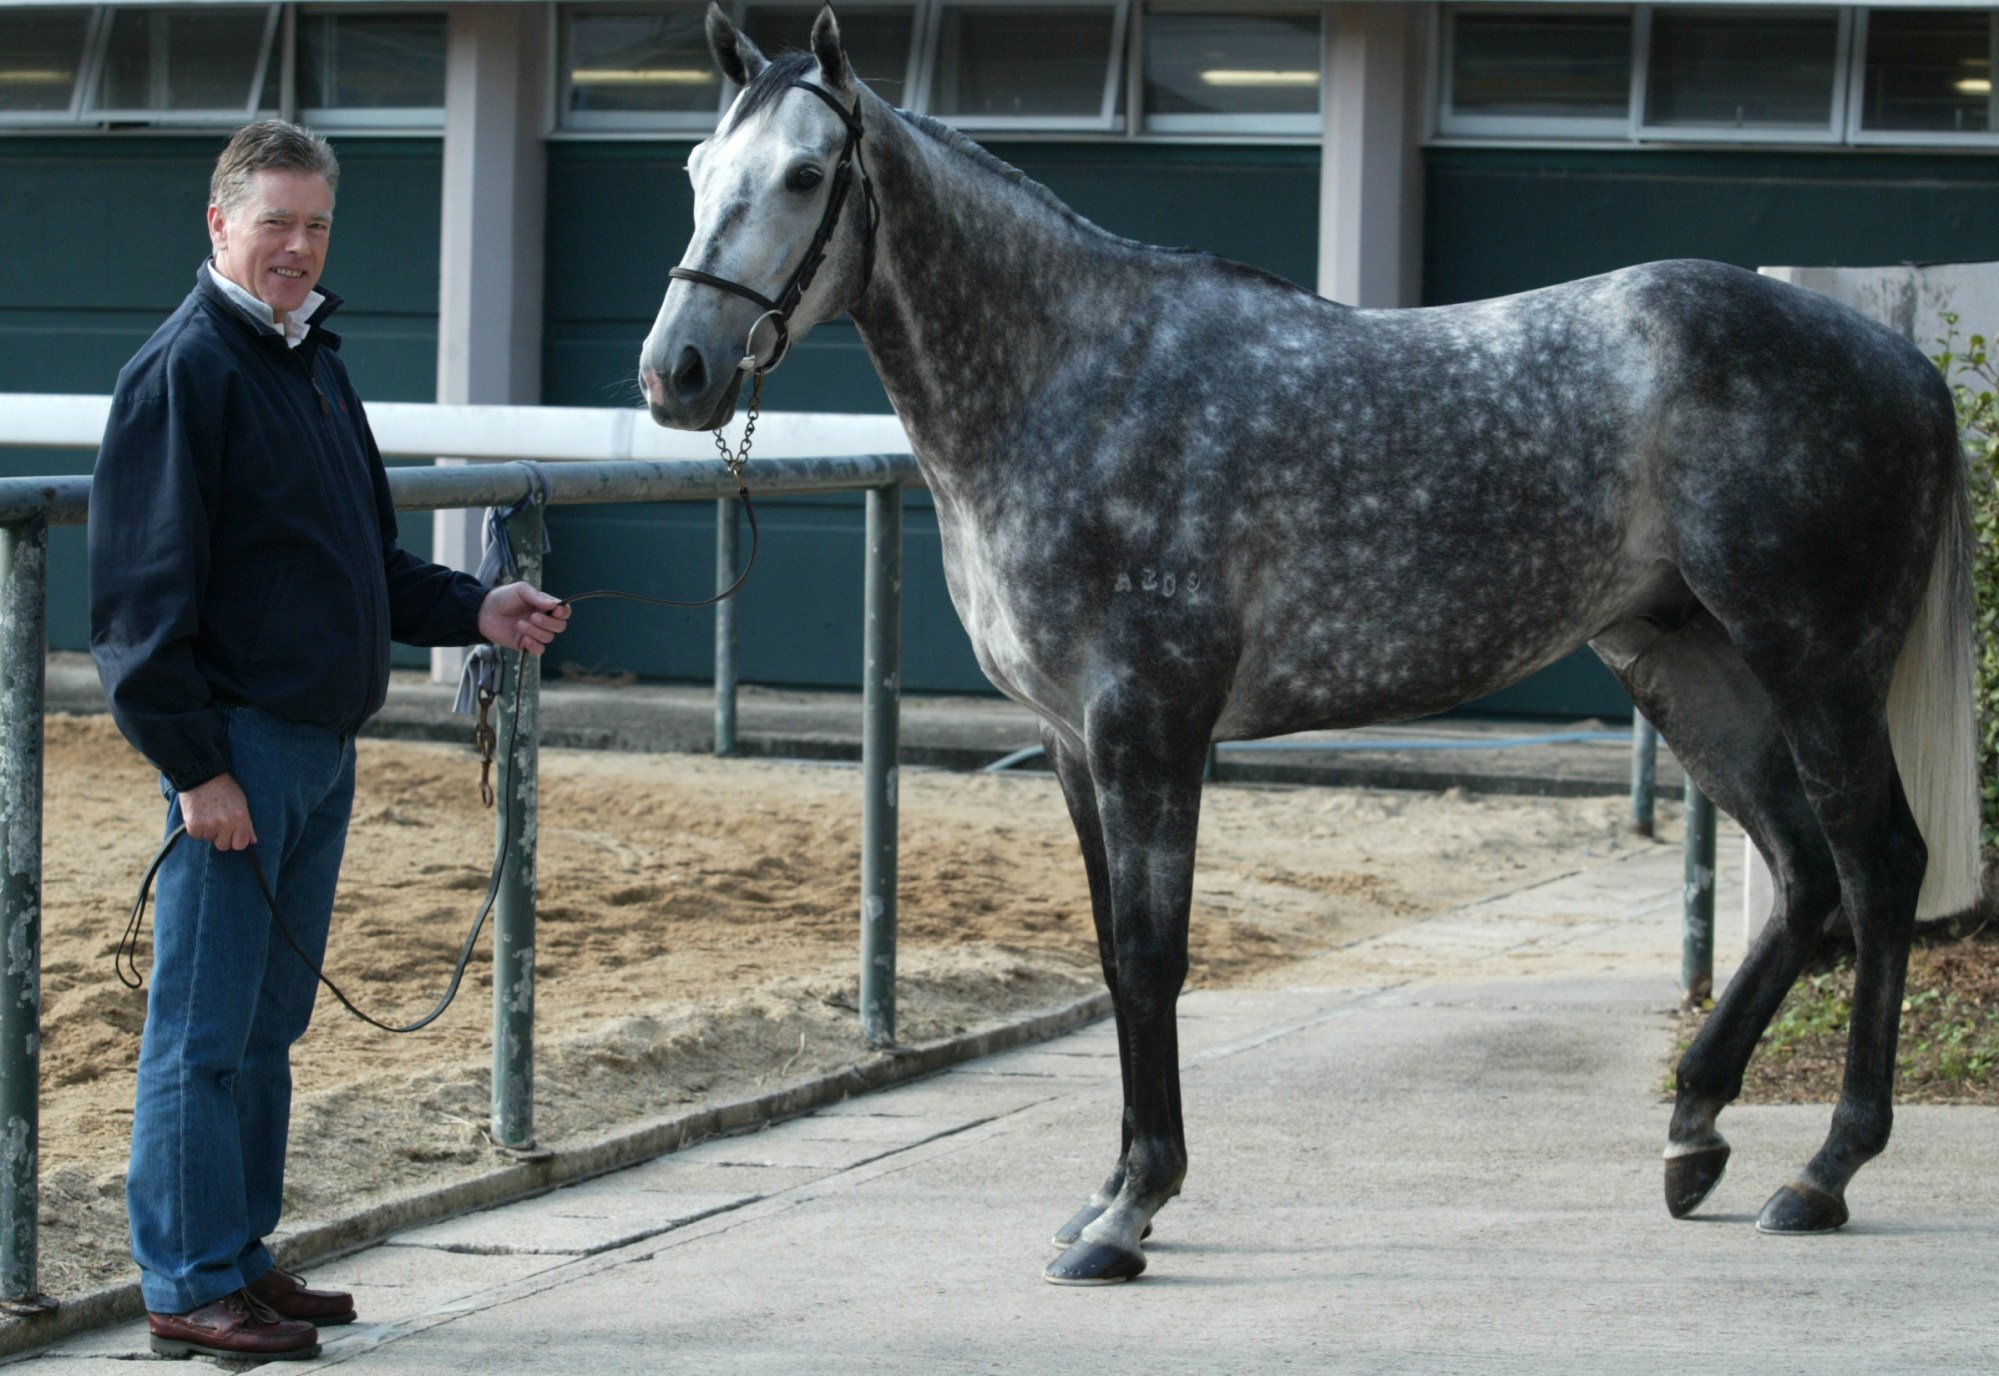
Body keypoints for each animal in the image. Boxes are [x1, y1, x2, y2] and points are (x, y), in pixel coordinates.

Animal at [635, 5, 1967, 1288]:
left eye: (808, 174)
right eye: (695, 167)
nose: (674, 372)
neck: (1076, 385)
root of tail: (1907, 364)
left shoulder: (1150, 726)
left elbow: (1150, 955)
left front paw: (1130, 1210)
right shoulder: (1070, 741)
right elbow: (1110, 956)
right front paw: (1108, 1189)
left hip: (1813, 664)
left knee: (1879, 867)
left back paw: (1824, 1169)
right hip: (1685, 666)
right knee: (1802, 873)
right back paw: (1694, 1130)